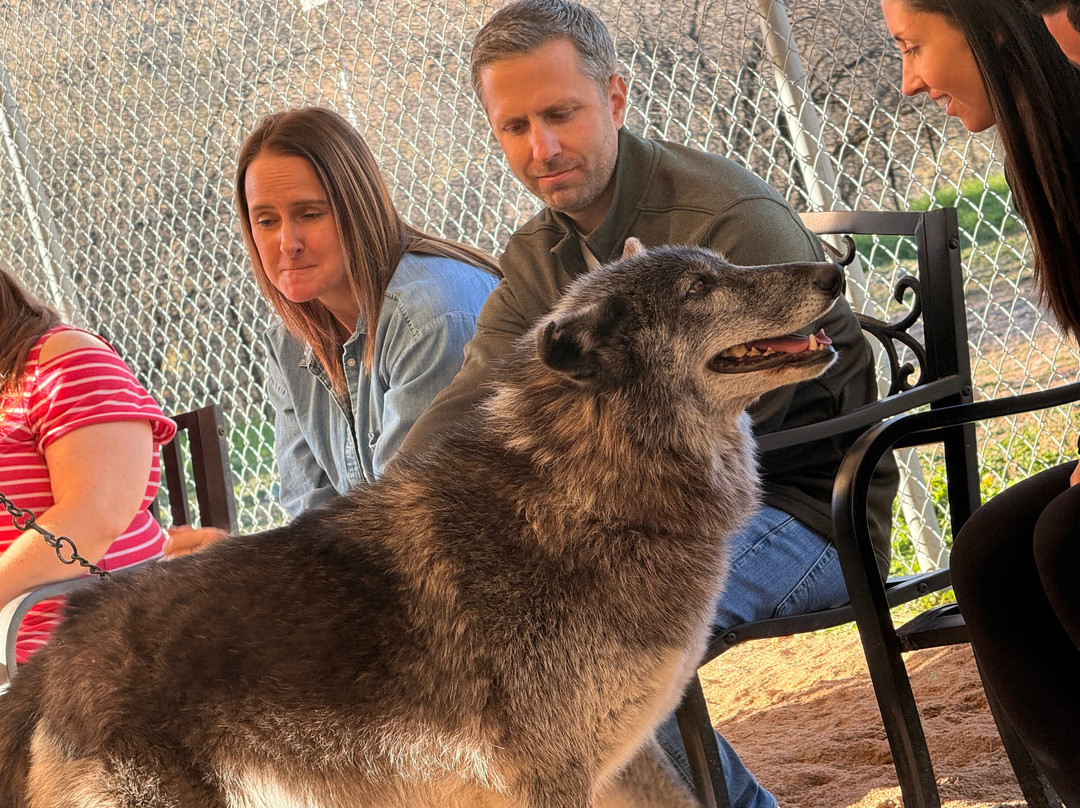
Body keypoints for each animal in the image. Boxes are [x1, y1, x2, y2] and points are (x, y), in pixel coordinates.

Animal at [0, 239, 843, 808]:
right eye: (701, 287)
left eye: (721, 266)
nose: (835, 268)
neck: (590, 492)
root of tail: (48, 665)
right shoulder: (550, 779)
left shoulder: (624, 760)